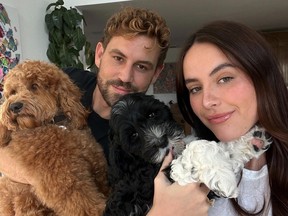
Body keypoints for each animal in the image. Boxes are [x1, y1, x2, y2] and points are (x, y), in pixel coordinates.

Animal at [0, 60, 109, 216]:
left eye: (34, 86)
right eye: (13, 92)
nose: (14, 106)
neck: (55, 124)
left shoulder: (97, 167)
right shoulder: (64, 180)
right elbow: (84, 204)